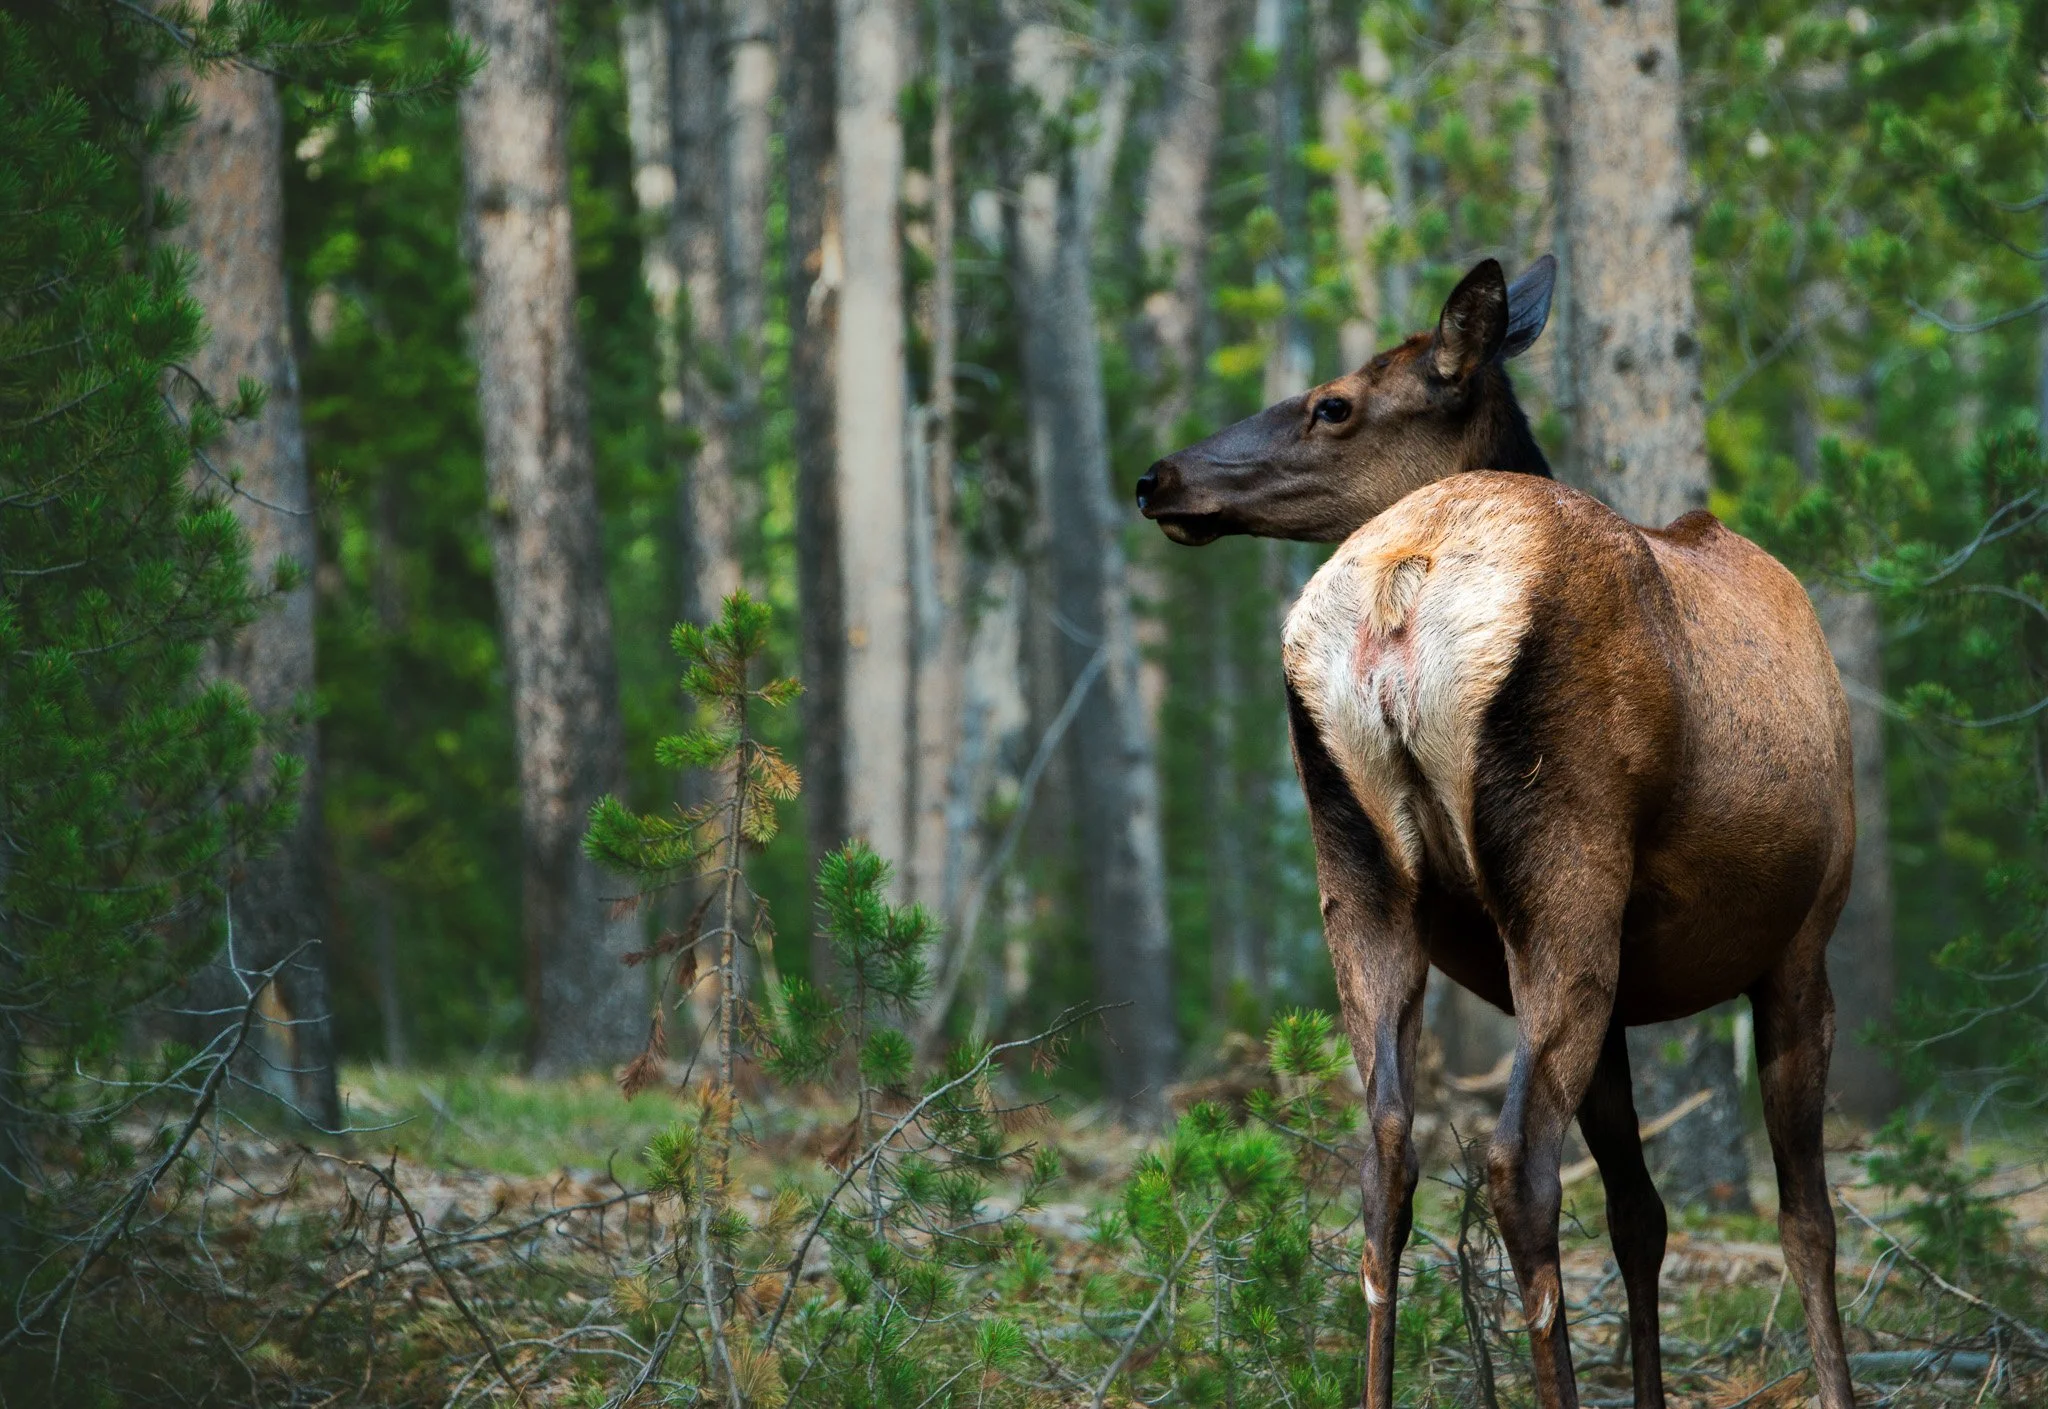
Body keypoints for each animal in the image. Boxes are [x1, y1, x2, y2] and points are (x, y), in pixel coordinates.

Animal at [1135, 255, 1858, 1409]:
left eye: (1333, 402)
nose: (1157, 476)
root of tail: (1402, 583)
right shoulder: (1802, 936)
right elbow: (1804, 1221)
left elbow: (1643, 1214)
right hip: (1563, 863)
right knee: (1518, 1162)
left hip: (1360, 868)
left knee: (1386, 1148)